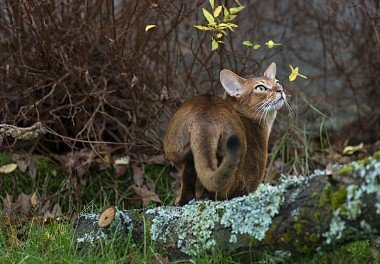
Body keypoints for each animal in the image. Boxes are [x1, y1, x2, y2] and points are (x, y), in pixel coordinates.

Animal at [163, 63, 284, 205]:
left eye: (277, 82)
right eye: (261, 88)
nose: (280, 90)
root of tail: (204, 118)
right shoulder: (249, 183)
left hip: (179, 153)